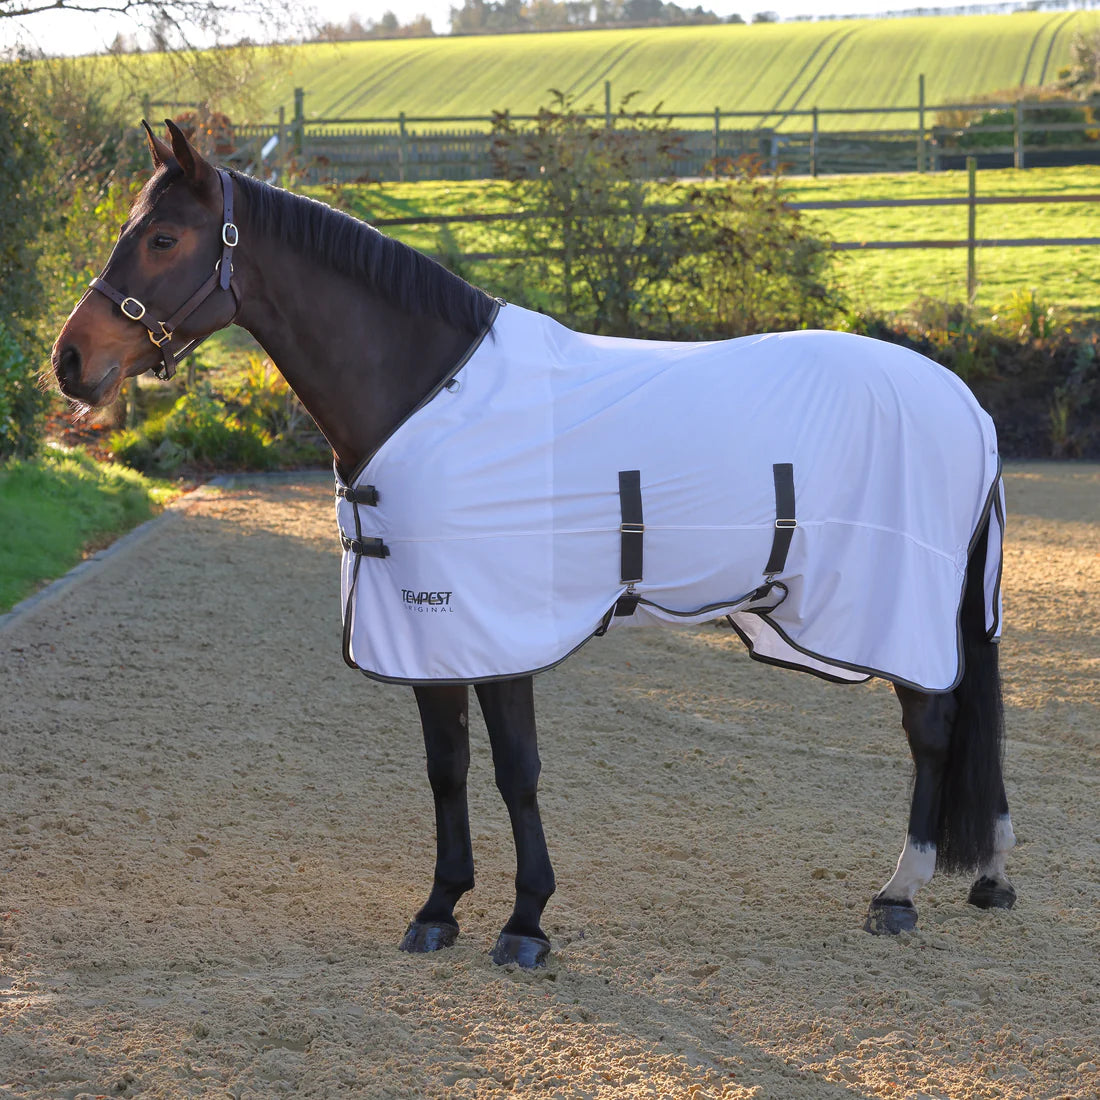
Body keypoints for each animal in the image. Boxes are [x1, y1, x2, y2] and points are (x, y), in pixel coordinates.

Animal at [51, 121, 1018, 969]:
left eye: (165, 236)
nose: (68, 362)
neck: (424, 389)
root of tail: (966, 402)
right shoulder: (427, 628)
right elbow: (445, 769)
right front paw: (439, 909)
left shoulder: (498, 627)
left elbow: (517, 770)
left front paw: (525, 923)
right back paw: (992, 880)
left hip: (895, 606)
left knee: (932, 728)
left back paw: (898, 894)